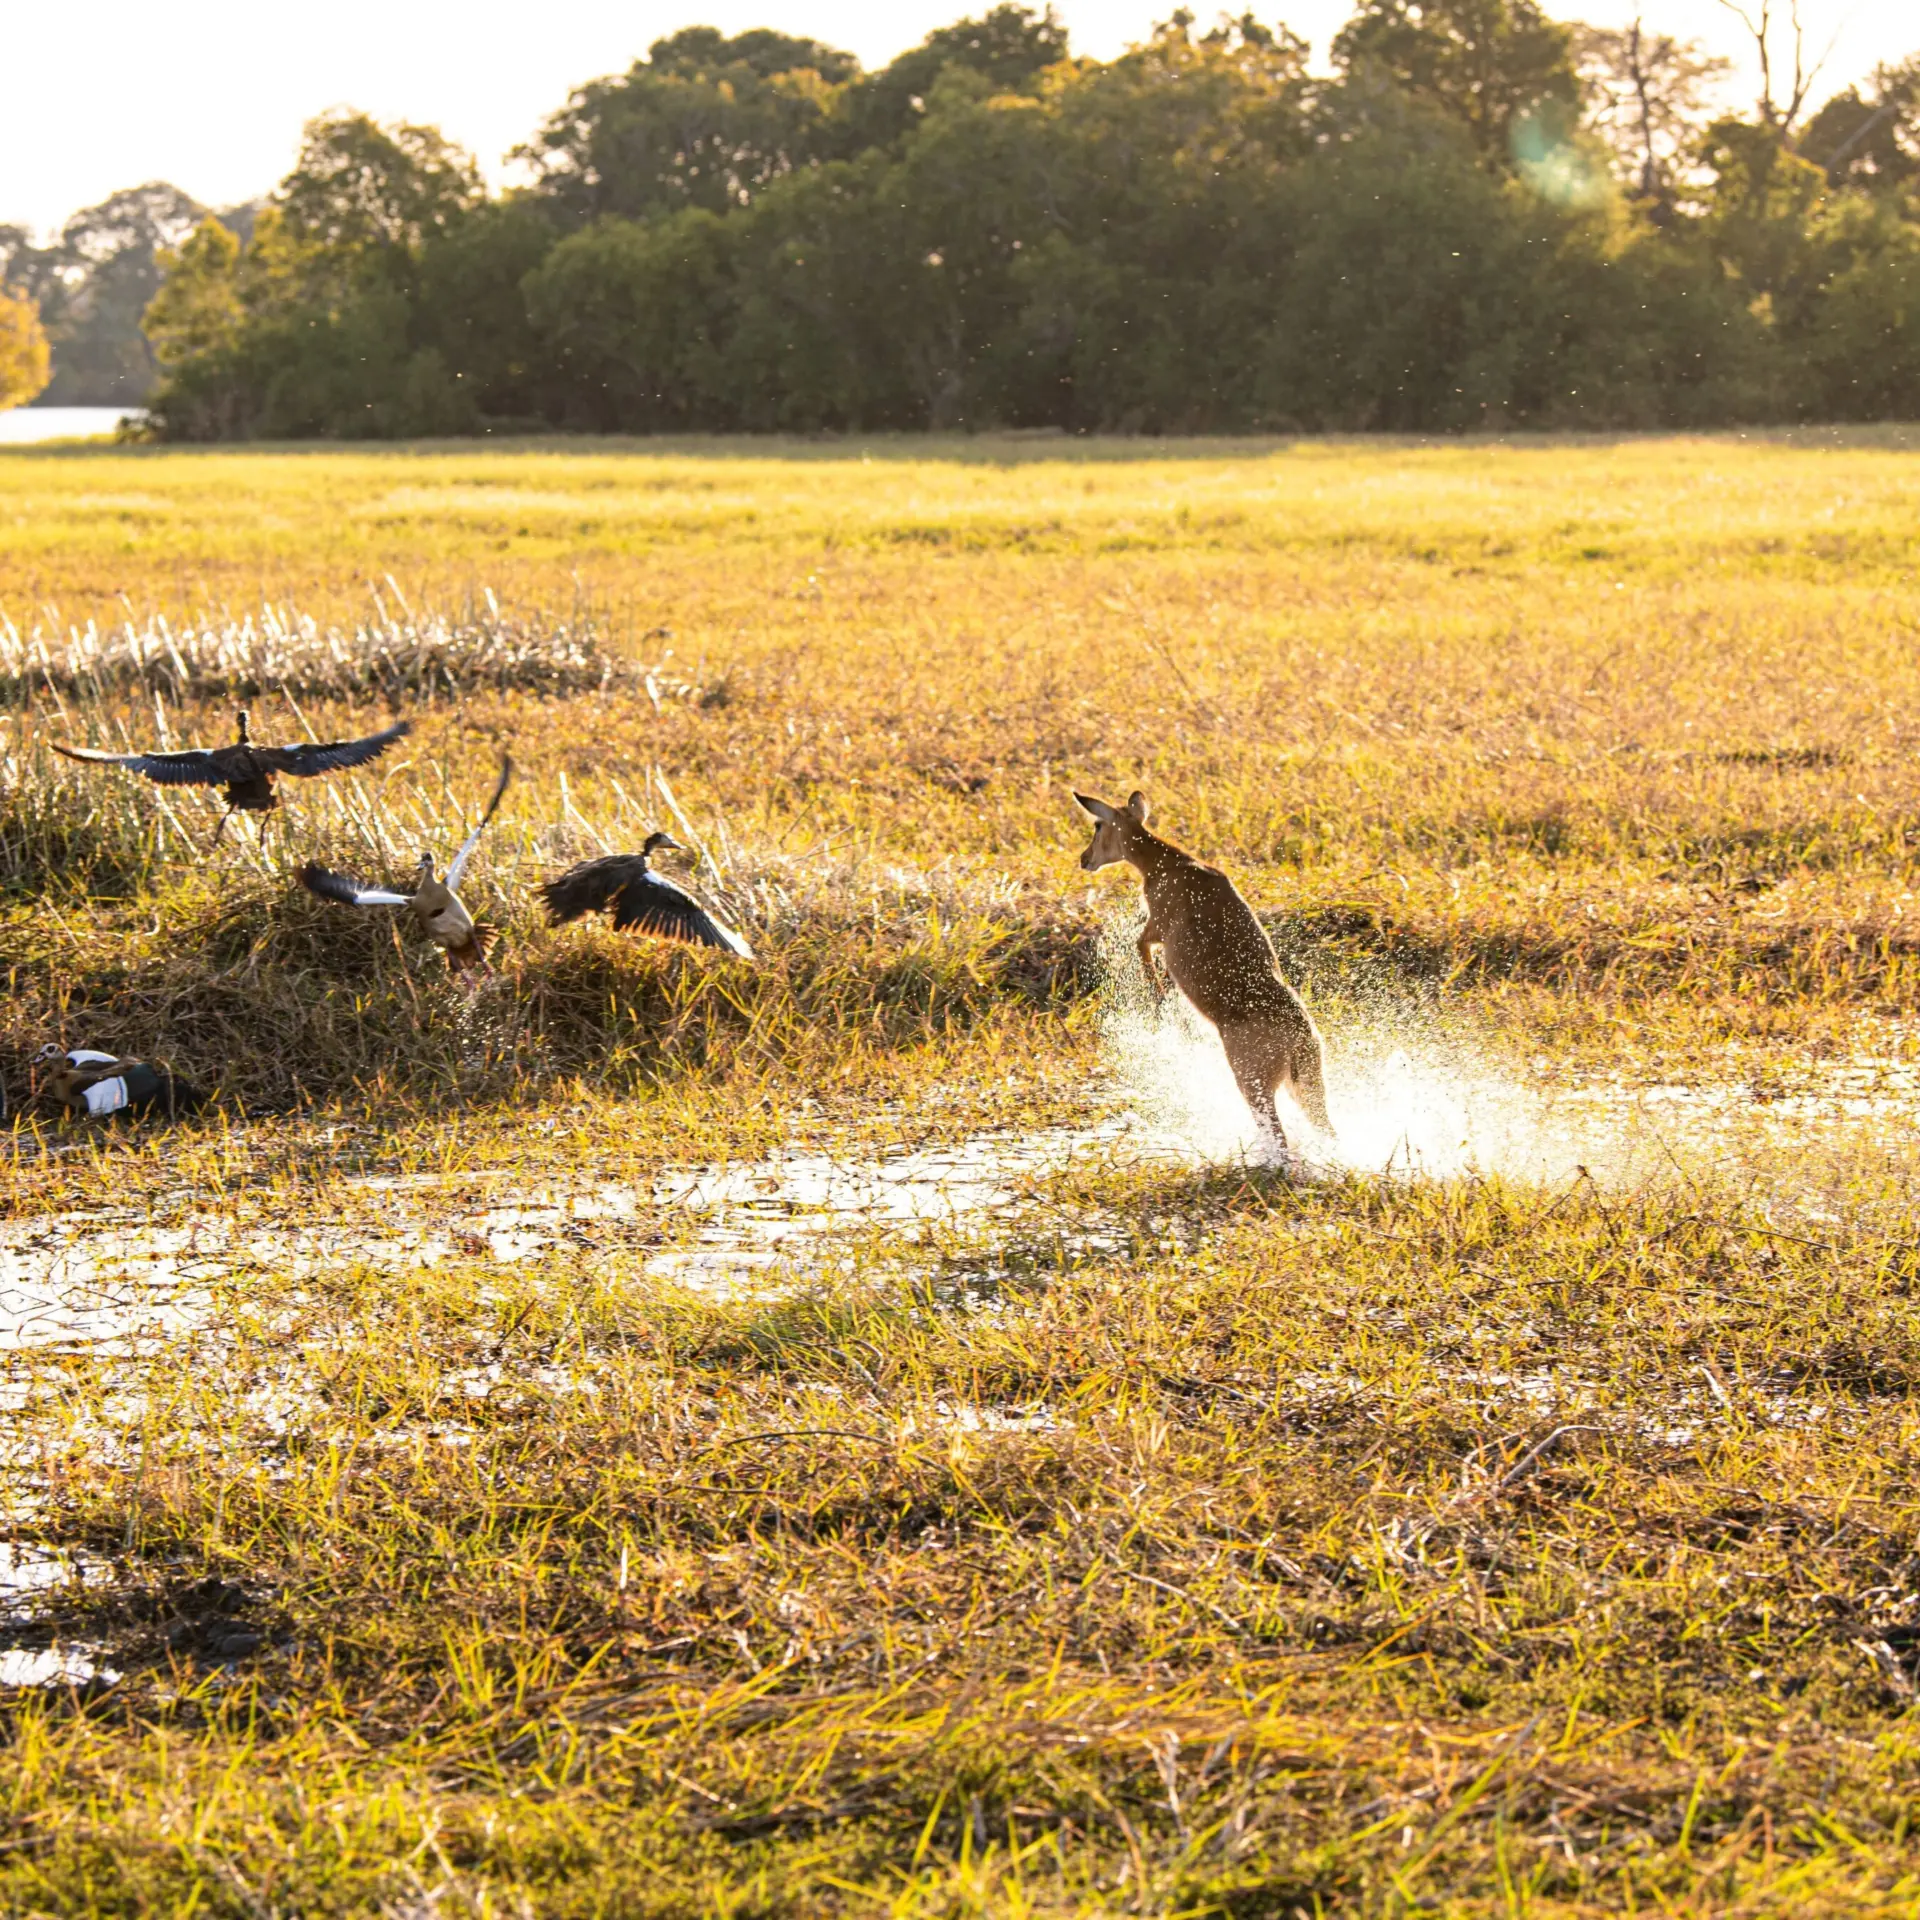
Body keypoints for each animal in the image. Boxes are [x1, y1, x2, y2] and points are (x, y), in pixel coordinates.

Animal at [1075, 790, 1332, 1153]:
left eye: (1098, 825)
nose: (1084, 858)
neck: (1168, 865)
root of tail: (1299, 1035)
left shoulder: (1157, 928)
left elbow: (1142, 948)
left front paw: (1160, 1005)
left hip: (1253, 1081)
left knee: (1278, 1135)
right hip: (1307, 1084)